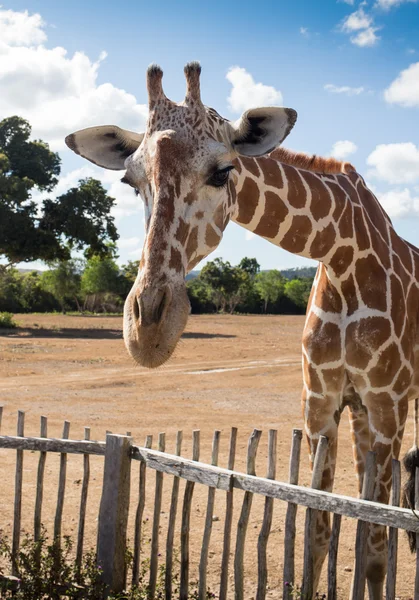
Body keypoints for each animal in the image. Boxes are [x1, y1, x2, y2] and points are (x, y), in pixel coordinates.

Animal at [65, 63, 419, 596]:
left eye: (222, 171)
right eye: (130, 180)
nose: (148, 332)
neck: (343, 255)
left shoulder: (388, 406)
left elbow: (377, 546)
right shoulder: (321, 405)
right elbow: (318, 534)